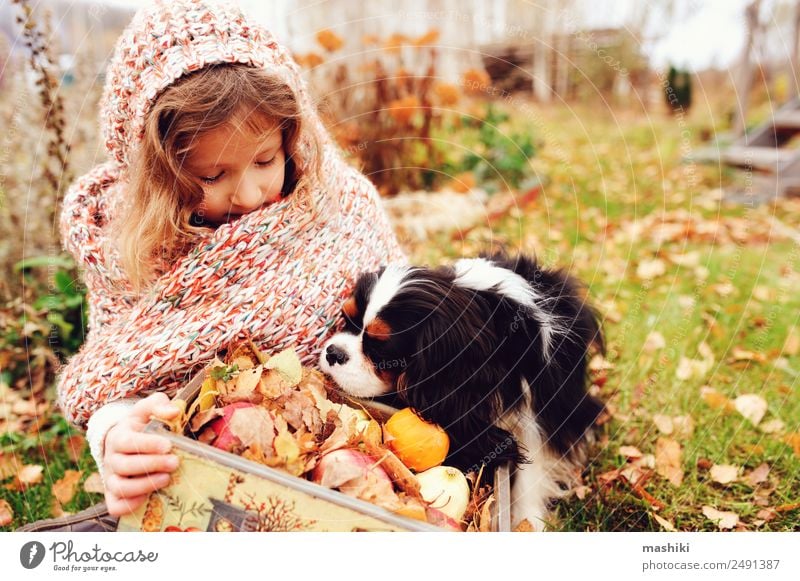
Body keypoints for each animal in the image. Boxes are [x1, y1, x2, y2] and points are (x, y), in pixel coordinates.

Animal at [318, 251, 608, 528]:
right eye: (346, 320)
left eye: (380, 348)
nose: (333, 352)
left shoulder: (536, 412)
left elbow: (533, 468)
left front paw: (528, 521)